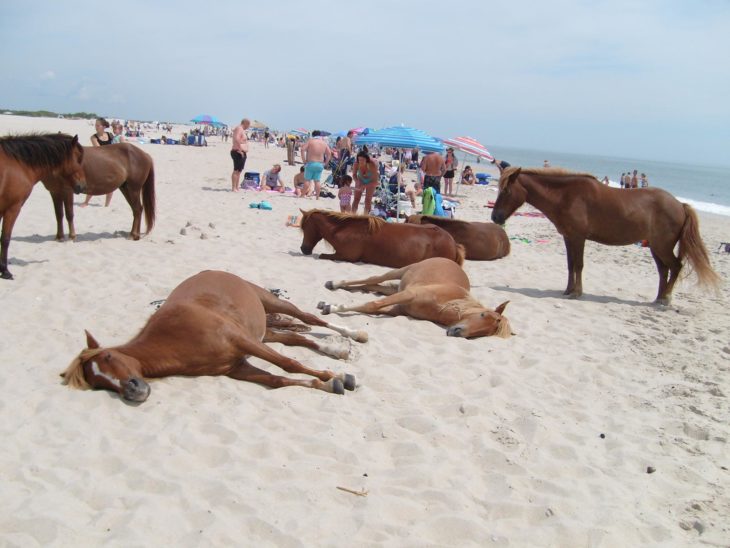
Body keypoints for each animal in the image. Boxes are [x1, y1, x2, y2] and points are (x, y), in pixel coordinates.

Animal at [0, 132, 86, 278]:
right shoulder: (12, 208)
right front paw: (5, 271)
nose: (83, 185)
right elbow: (5, 239)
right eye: (78, 159)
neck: (17, 164)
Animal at [61, 270, 370, 402]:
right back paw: (336, 351)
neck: (175, 337)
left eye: (109, 356)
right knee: (297, 338)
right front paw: (329, 384)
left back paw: (354, 335)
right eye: (97, 384)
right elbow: (278, 380)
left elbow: (288, 364)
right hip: (264, 334)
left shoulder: (241, 341)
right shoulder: (236, 367)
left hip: (271, 303)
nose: (133, 390)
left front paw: (334, 376)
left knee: (310, 319)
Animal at [298, 209, 464, 268]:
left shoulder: (345, 256)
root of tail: (453, 243)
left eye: (304, 227)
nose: (303, 249)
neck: (345, 229)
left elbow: (322, 256)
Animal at [318, 256, 512, 338]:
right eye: (482, 314)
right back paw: (334, 283)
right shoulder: (408, 294)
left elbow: (373, 306)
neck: (443, 306)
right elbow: (372, 304)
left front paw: (330, 305)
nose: (457, 332)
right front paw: (331, 308)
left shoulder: (397, 308)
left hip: (397, 287)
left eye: (486, 332)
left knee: (372, 286)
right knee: (373, 279)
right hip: (400, 271)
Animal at [490, 167, 716, 304]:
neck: (566, 196)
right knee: (664, 271)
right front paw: (568, 290)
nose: (495, 217)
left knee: (675, 267)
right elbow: (570, 265)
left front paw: (577, 292)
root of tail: (680, 204)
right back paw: (658, 297)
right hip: (655, 247)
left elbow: (578, 265)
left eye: (506, 191)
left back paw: (665, 298)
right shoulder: (568, 237)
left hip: (662, 246)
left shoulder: (578, 238)